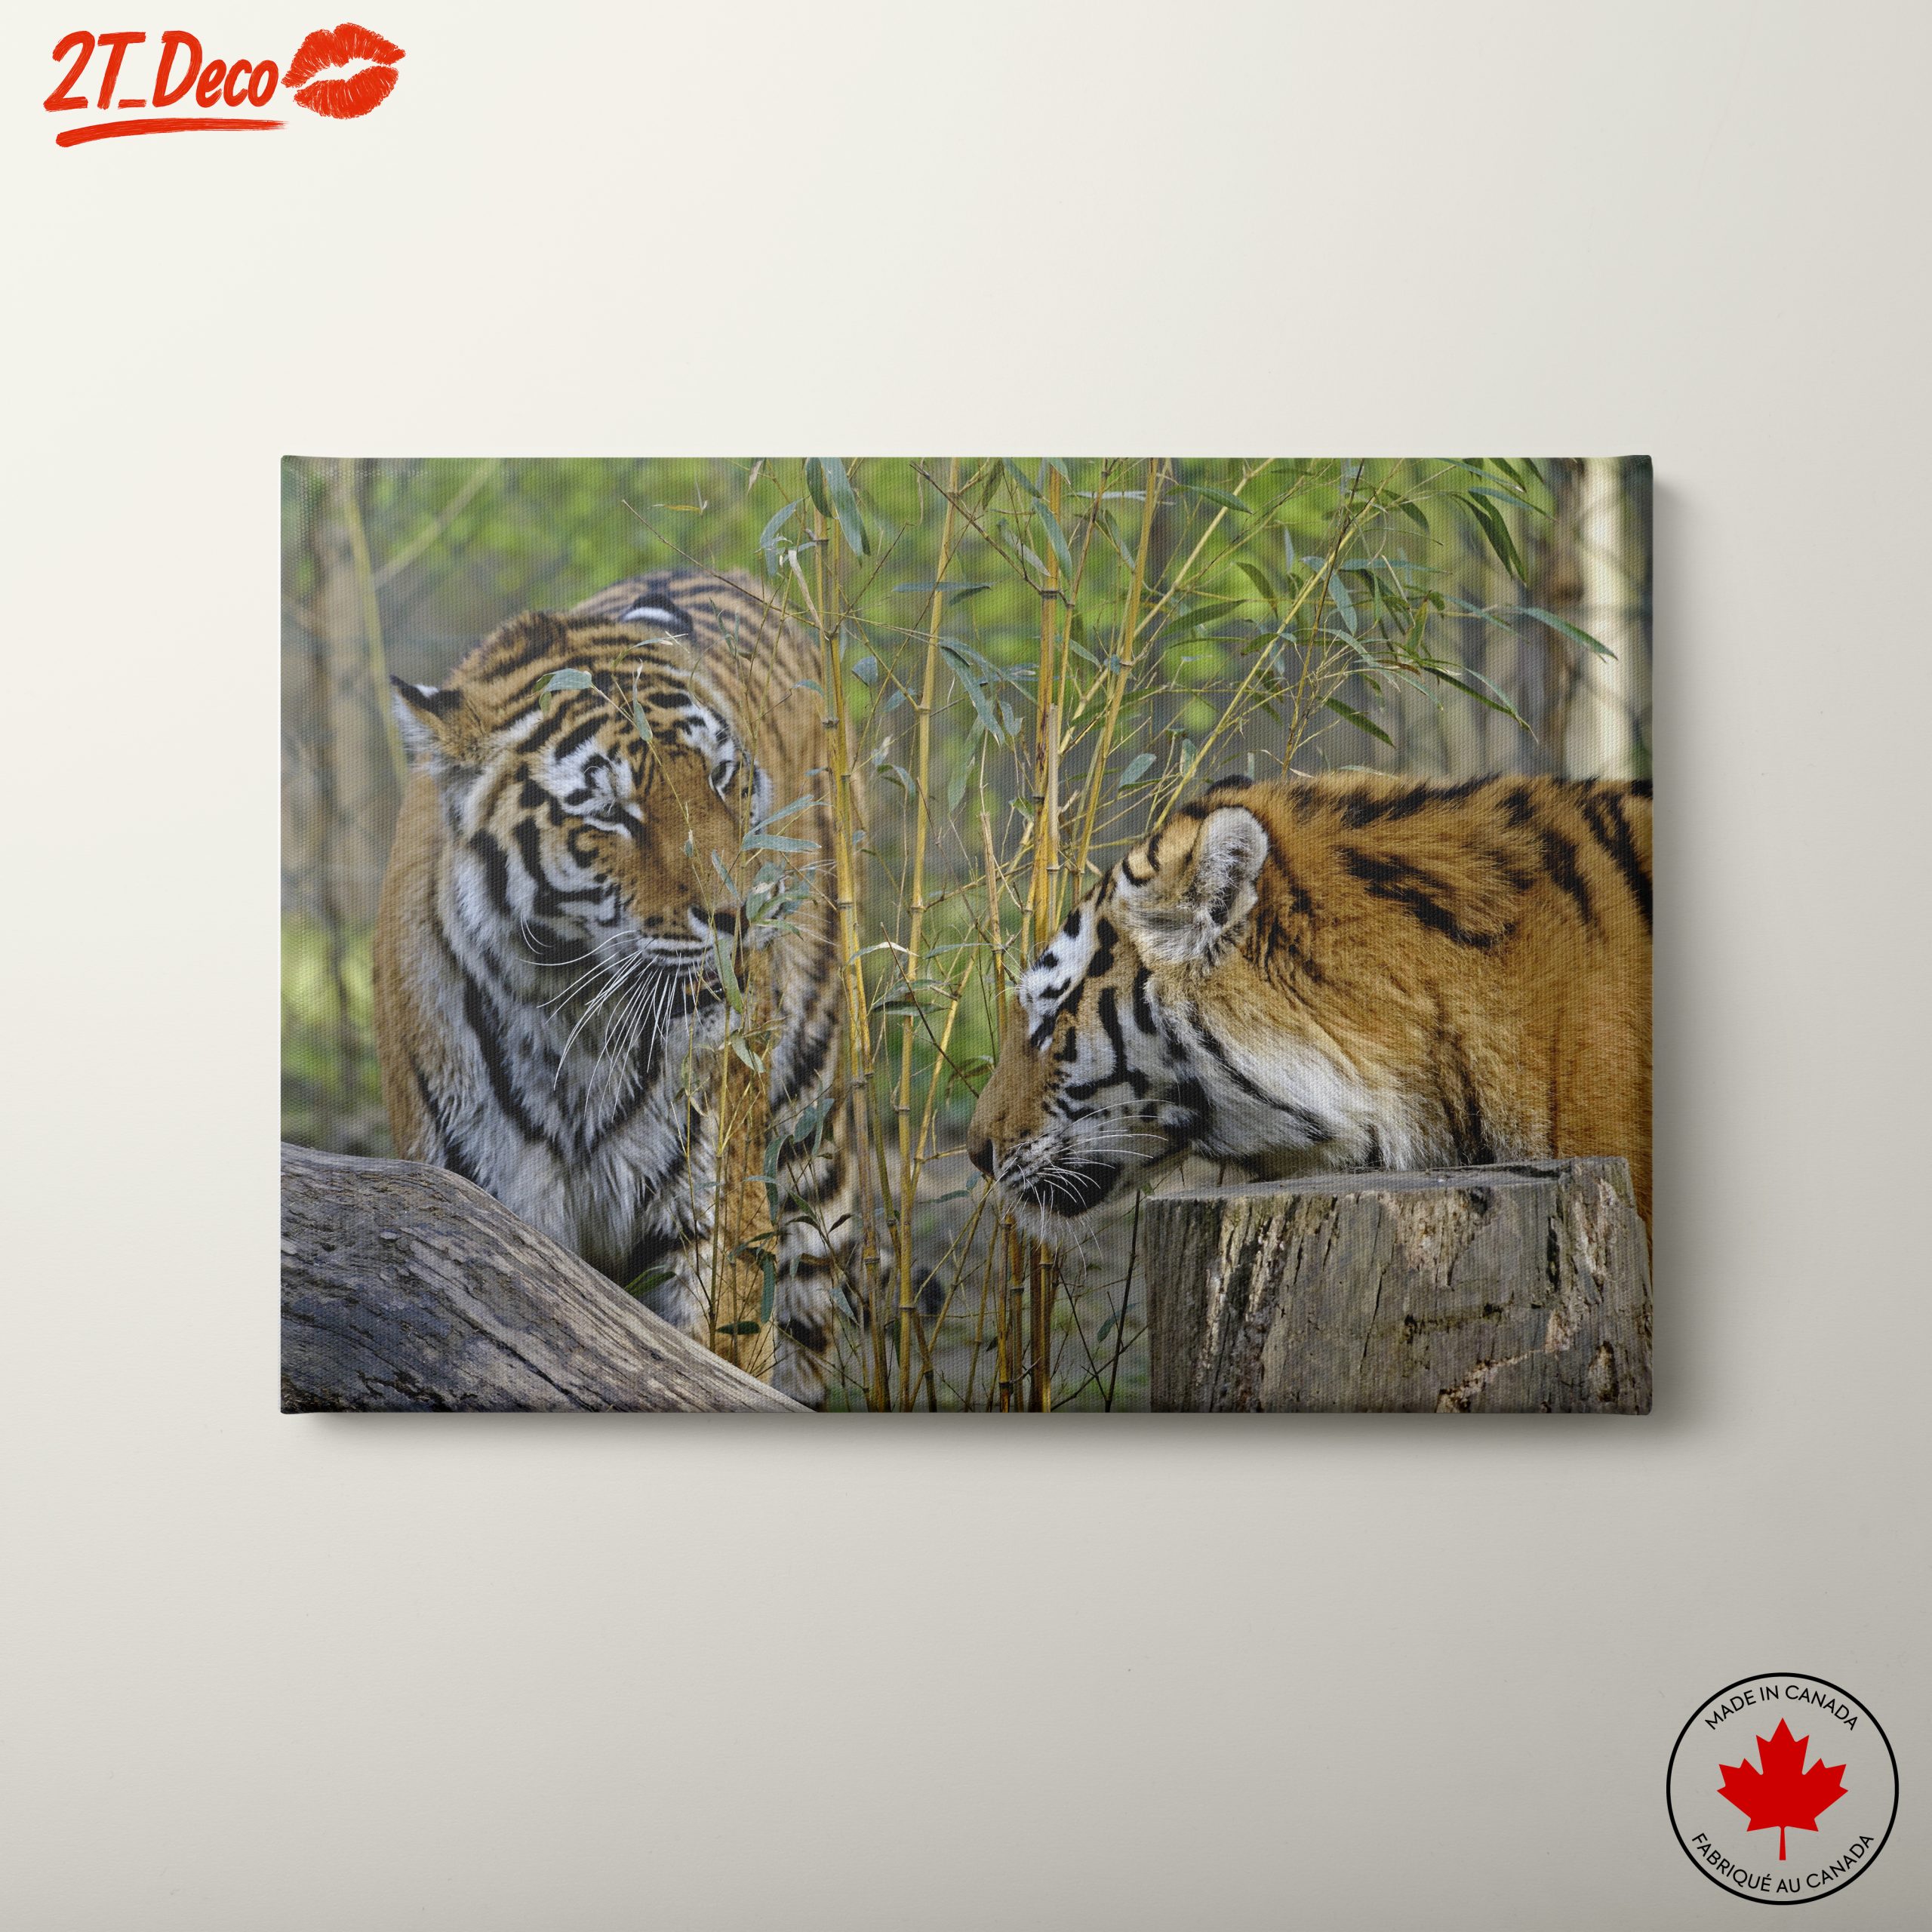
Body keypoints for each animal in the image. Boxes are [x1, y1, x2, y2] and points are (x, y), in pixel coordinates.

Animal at [372, 567, 855, 1406]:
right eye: (611, 812)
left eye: (721, 776)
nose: (741, 917)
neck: (574, 1021)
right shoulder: (484, 1216)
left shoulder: (711, 1224)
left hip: (805, 1132)